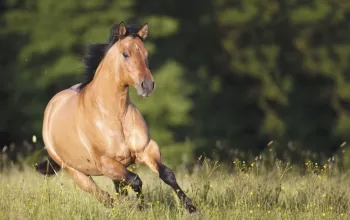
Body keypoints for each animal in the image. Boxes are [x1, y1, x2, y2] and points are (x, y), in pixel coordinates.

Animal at [35, 21, 197, 213]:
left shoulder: (146, 149)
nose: (147, 85)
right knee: (105, 197)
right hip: (77, 173)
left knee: (117, 192)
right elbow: (136, 180)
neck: (115, 115)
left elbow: (167, 174)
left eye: (146, 53)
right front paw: (143, 207)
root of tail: (51, 107)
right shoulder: (105, 163)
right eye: (126, 54)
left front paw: (192, 208)